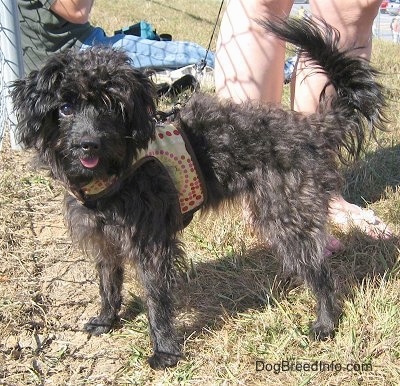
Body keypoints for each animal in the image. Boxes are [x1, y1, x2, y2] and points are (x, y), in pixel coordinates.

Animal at [11, 18, 388, 370]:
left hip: (287, 215)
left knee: (321, 272)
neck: (114, 171)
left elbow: (157, 299)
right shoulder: (104, 240)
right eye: (65, 108)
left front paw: (164, 351)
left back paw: (325, 323)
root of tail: (313, 128)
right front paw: (107, 320)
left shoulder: (151, 246)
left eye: (111, 107)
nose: (88, 143)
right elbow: (109, 284)